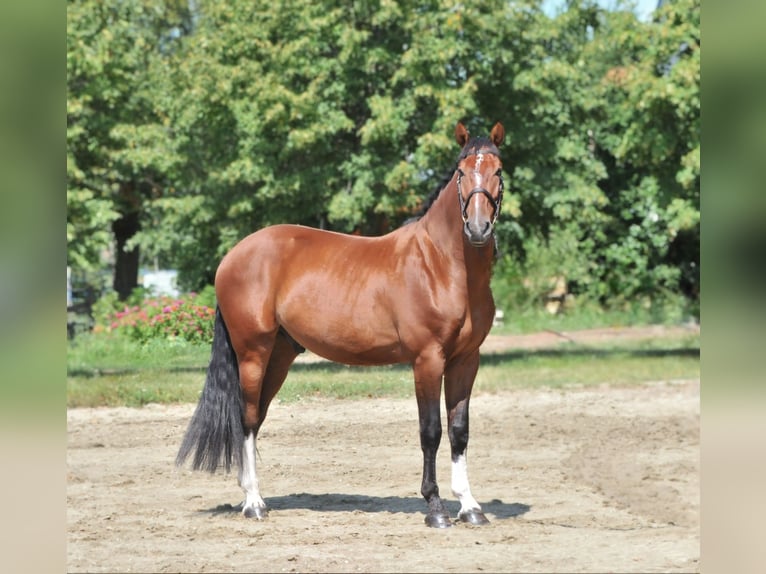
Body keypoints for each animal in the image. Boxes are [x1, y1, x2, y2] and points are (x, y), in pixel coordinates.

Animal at [177, 121, 508, 532]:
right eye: (461, 173)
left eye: (498, 171)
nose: (478, 228)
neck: (442, 265)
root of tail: (232, 256)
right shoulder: (427, 359)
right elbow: (430, 431)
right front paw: (435, 508)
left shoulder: (466, 360)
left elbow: (459, 431)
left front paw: (470, 506)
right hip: (253, 353)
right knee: (248, 418)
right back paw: (254, 502)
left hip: (280, 355)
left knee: (255, 419)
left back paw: (250, 495)